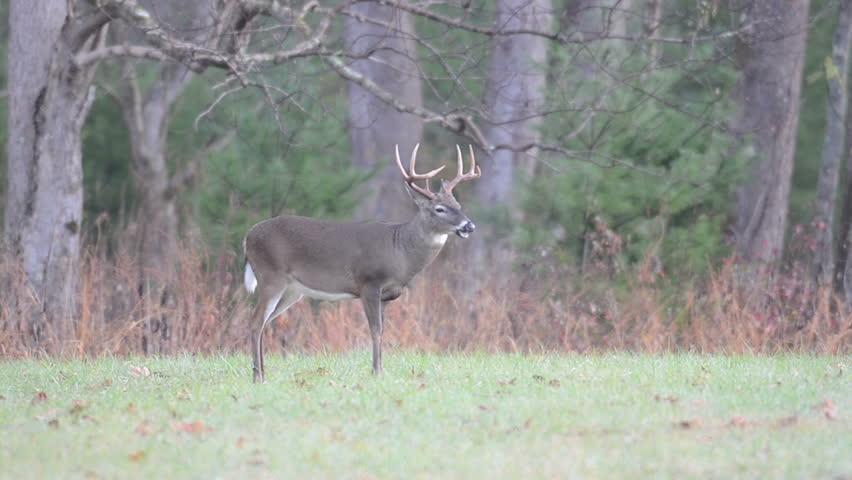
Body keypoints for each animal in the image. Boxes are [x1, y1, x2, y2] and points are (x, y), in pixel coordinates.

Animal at [242, 144, 481, 382]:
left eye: (458, 204)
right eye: (439, 209)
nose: (469, 226)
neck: (400, 251)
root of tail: (248, 236)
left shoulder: (388, 295)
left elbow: (382, 329)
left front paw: (380, 369)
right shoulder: (369, 283)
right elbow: (375, 329)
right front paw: (376, 371)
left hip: (292, 290)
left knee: (265, 322)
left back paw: (262, 373)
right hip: (271, 276)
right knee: (255, 321)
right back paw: (257, 377)